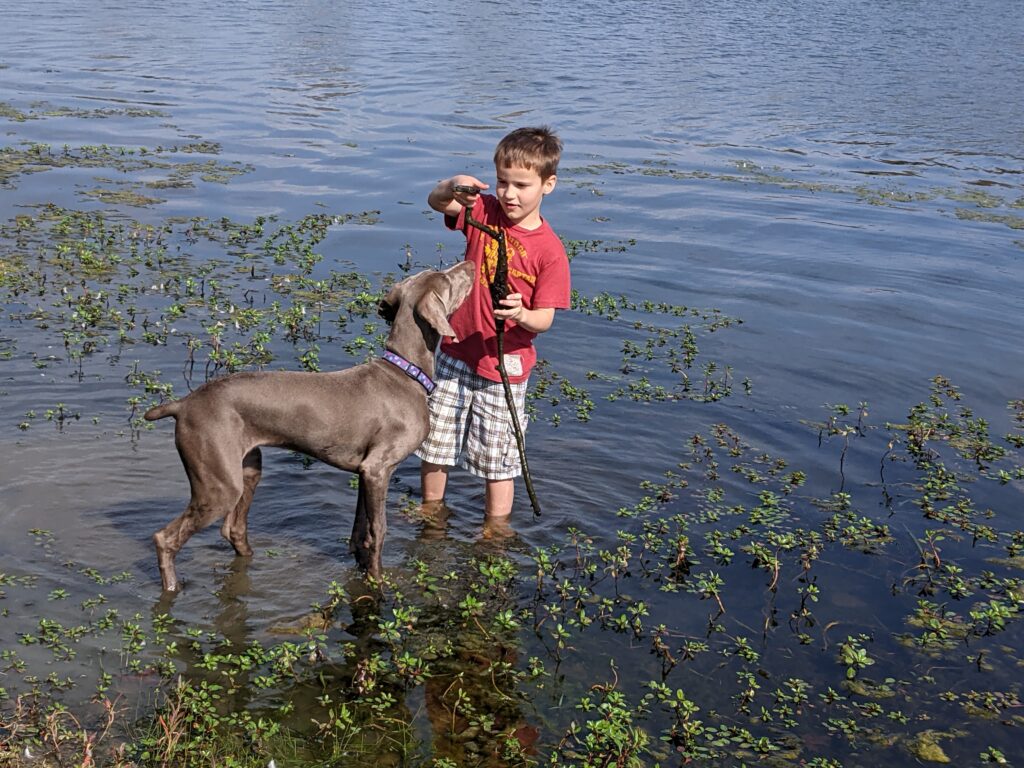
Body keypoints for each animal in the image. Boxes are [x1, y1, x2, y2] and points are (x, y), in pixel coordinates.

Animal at [144, 262, 475, 593]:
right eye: (447, 279)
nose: (470, 265)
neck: (405, 373)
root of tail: (183, 404)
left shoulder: (364, 472)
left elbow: (359, 532)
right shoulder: (378, 469)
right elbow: (378, 531)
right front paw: (377, 582)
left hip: (248, 467)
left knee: (233, 528)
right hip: (219, 484)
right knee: (165, 537)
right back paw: (172, 587)